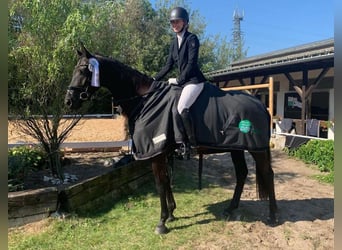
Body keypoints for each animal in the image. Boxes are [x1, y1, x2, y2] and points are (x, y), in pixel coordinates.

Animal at [65, 44, 278, 233]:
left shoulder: (156, 153)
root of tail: (260, 103)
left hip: (257, 149)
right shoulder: (164, 152)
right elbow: (167, 180)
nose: (68, 101)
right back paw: (230, 208)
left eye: (83, 69)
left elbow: (160, 184)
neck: (146, 100)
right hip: (236, 148)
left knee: (267, 174)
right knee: (242, 173)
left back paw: (273, 216)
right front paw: (172, 213)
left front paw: (161, 222)